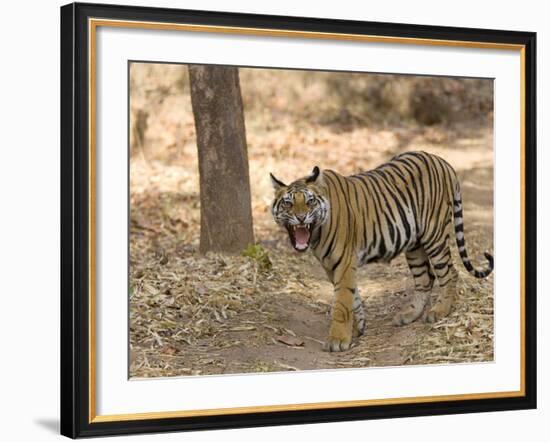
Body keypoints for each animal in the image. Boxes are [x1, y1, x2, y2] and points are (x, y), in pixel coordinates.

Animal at [272, 152, 496, 352]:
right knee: (425, 278)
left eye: (310, 202)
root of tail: (442, 161)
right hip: (414, 245)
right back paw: (408, 315)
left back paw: (440, 311)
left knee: (450, 273)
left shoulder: (344, 262)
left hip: (434, 235)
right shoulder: (331, 266)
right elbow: (352, 297)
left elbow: (342, 301)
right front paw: (359, 327)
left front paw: (337, 340)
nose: (301, 218)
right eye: (288, 203)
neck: (317, 232)